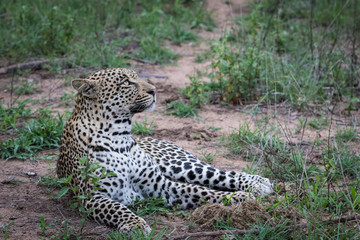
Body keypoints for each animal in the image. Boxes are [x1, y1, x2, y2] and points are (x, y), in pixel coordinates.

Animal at [57, 67, 272, 234]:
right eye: (126, 82)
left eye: (137, 77)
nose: (154, 90)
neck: (120, 136)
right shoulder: (92, 196)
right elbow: (117, 208)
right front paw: (135, 224)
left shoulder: (161, 185)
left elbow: (200, 190)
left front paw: (239, 197)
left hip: (180, 165)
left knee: (220, 174)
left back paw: (259, 183)